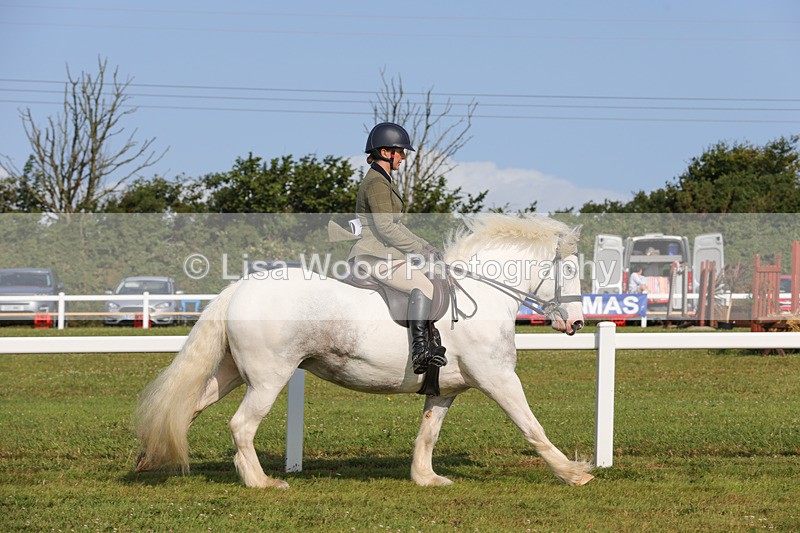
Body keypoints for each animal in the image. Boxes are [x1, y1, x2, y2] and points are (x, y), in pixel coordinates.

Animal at [134, 213, 593, 488]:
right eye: (570, 269)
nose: (575, 323)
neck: (483, 294)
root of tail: (239, 288)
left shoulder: (445, 389)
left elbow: (428, 433)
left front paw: (426, 478)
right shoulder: (498, 378)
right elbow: (532, 426)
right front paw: (574, 472)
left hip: (231, 373)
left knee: (190, 406)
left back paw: (149, 457)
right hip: (268, 378)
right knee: (242, 425)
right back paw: (261, 482)